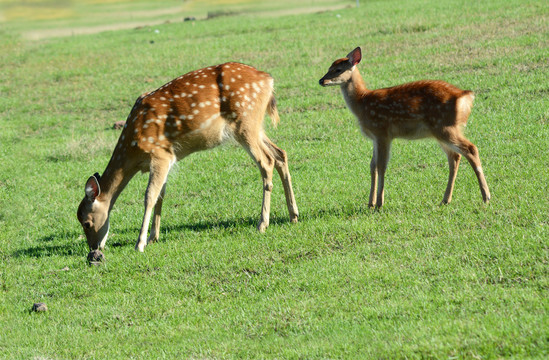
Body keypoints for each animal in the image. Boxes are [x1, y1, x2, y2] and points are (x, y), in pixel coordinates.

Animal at [76, 62, 298, 253]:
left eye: (86, 222)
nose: (94, 249)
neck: (132, 149)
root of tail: (268, 80)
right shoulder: (167, 158)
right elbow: (161, 195)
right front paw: (153, 237)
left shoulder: (160, 153)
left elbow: (149, 196)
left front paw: (140, 243)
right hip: (255, 125)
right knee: (280, 154)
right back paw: (293, 215)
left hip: (245, 121)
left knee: (266, 162)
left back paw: (262, 223)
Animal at [318, 46, 490, 207]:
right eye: (329, 67)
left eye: (338, 70)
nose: (321, 81)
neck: (362, 102)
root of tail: (465, 96)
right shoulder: (375, 137)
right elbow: (372, 166)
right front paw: (370, 203)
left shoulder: (382, 131)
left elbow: (381, 166)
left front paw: (379, 203)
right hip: (441, 130)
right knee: (454, 156)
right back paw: (445, 199)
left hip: (445, 127)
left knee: (471, 149)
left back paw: (486, 197)